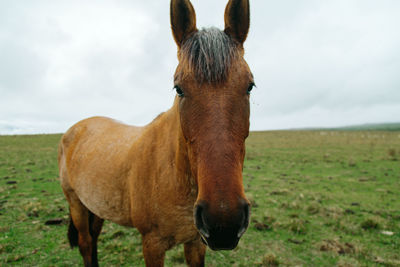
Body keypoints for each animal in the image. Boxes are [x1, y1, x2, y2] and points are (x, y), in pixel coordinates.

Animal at [58, 1, 255, 266]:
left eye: (250, 86)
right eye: (178, 88)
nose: (223, 221)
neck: (174, 174)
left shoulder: (195, 243)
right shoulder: (152, 244)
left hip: (96, 206)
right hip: (76, 203)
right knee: (86, 244)